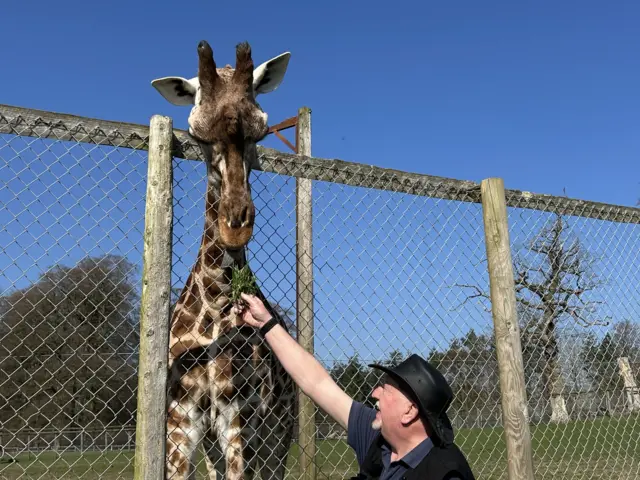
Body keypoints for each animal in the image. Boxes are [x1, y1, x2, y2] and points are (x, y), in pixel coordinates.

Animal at [151, 40, 296, 480]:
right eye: (196, 133)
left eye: (261, 130)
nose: (236, 225)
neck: (216, 299)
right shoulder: (180, 419)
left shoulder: (239, 416)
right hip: (216, 442)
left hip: (277, 432)